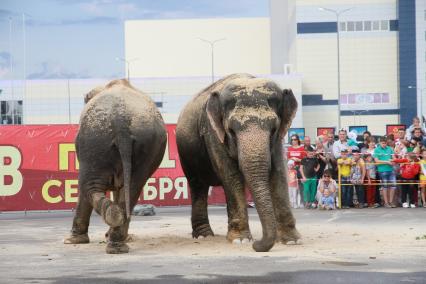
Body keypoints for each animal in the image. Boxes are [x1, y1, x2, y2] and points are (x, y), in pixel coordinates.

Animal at [64, 79, 167, 254]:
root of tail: (121, 121)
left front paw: (71, 241)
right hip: (145, 145)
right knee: (132, 188)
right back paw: (117, 240)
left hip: (93, 141)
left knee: (88, 186)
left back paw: (111, 222)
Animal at [176, 74, 300, 253]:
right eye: (231, 131)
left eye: (273, 129)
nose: (257, 244)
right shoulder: (213, 132)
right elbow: (231, 175)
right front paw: (241, 240)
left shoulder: (278, 140)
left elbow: (279, 173)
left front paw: (292, 241)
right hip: (187, 153)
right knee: (198, 185)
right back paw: (204, 236)